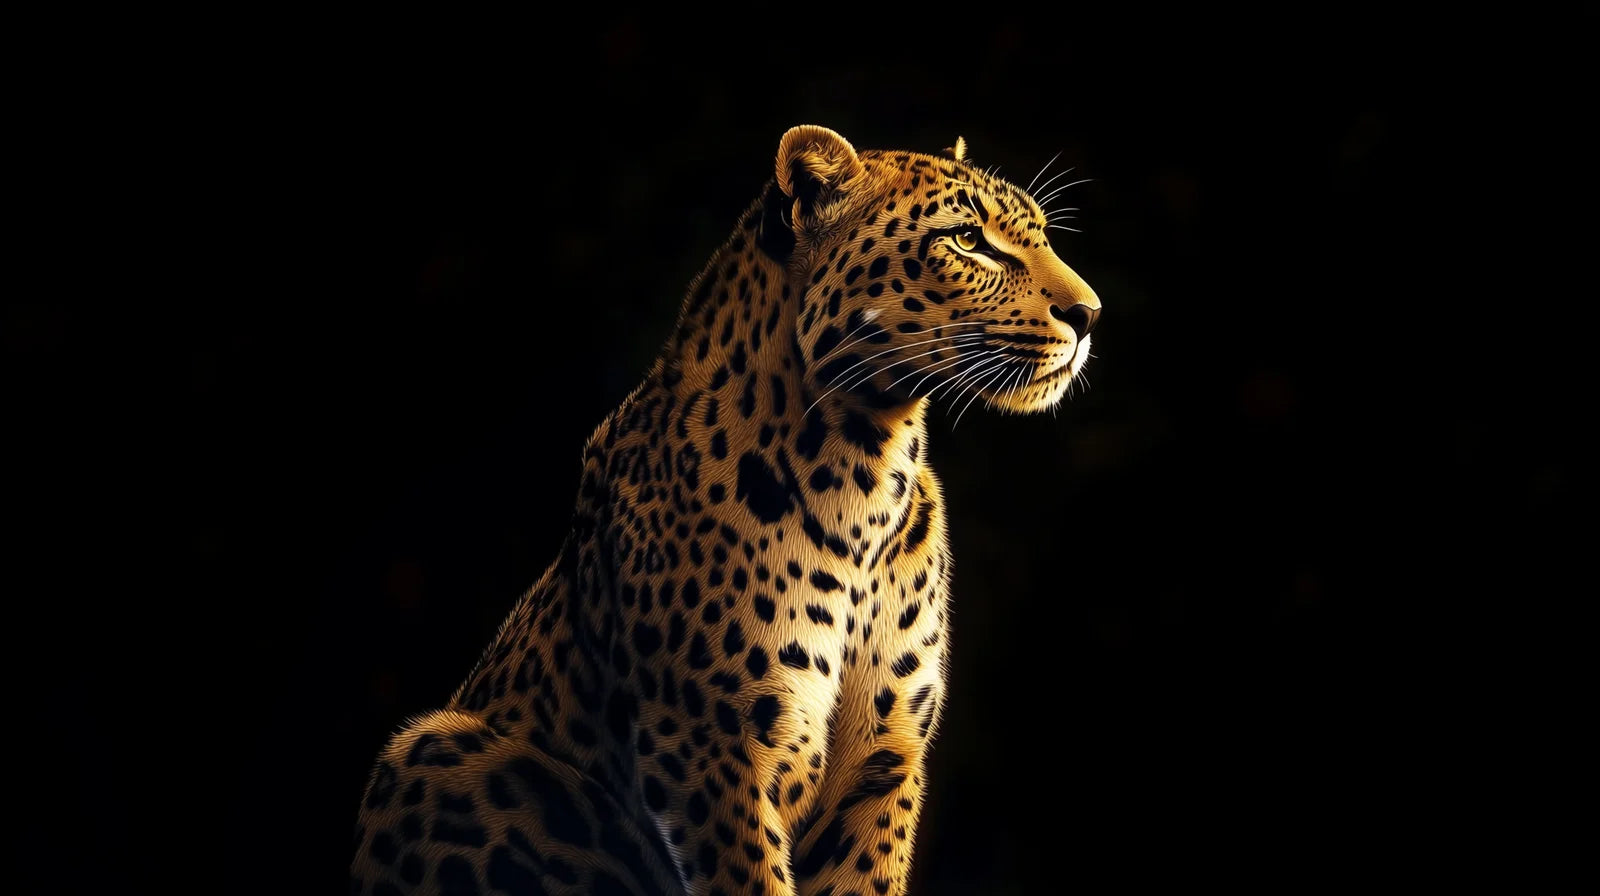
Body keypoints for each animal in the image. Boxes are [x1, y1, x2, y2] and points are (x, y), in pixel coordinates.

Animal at [351, 125, 1101, 895]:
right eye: (967, 240)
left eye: (1042, 235)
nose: (1089, 315)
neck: (864, 466)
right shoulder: (708, 750)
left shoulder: (885, 758)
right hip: (433, 752)